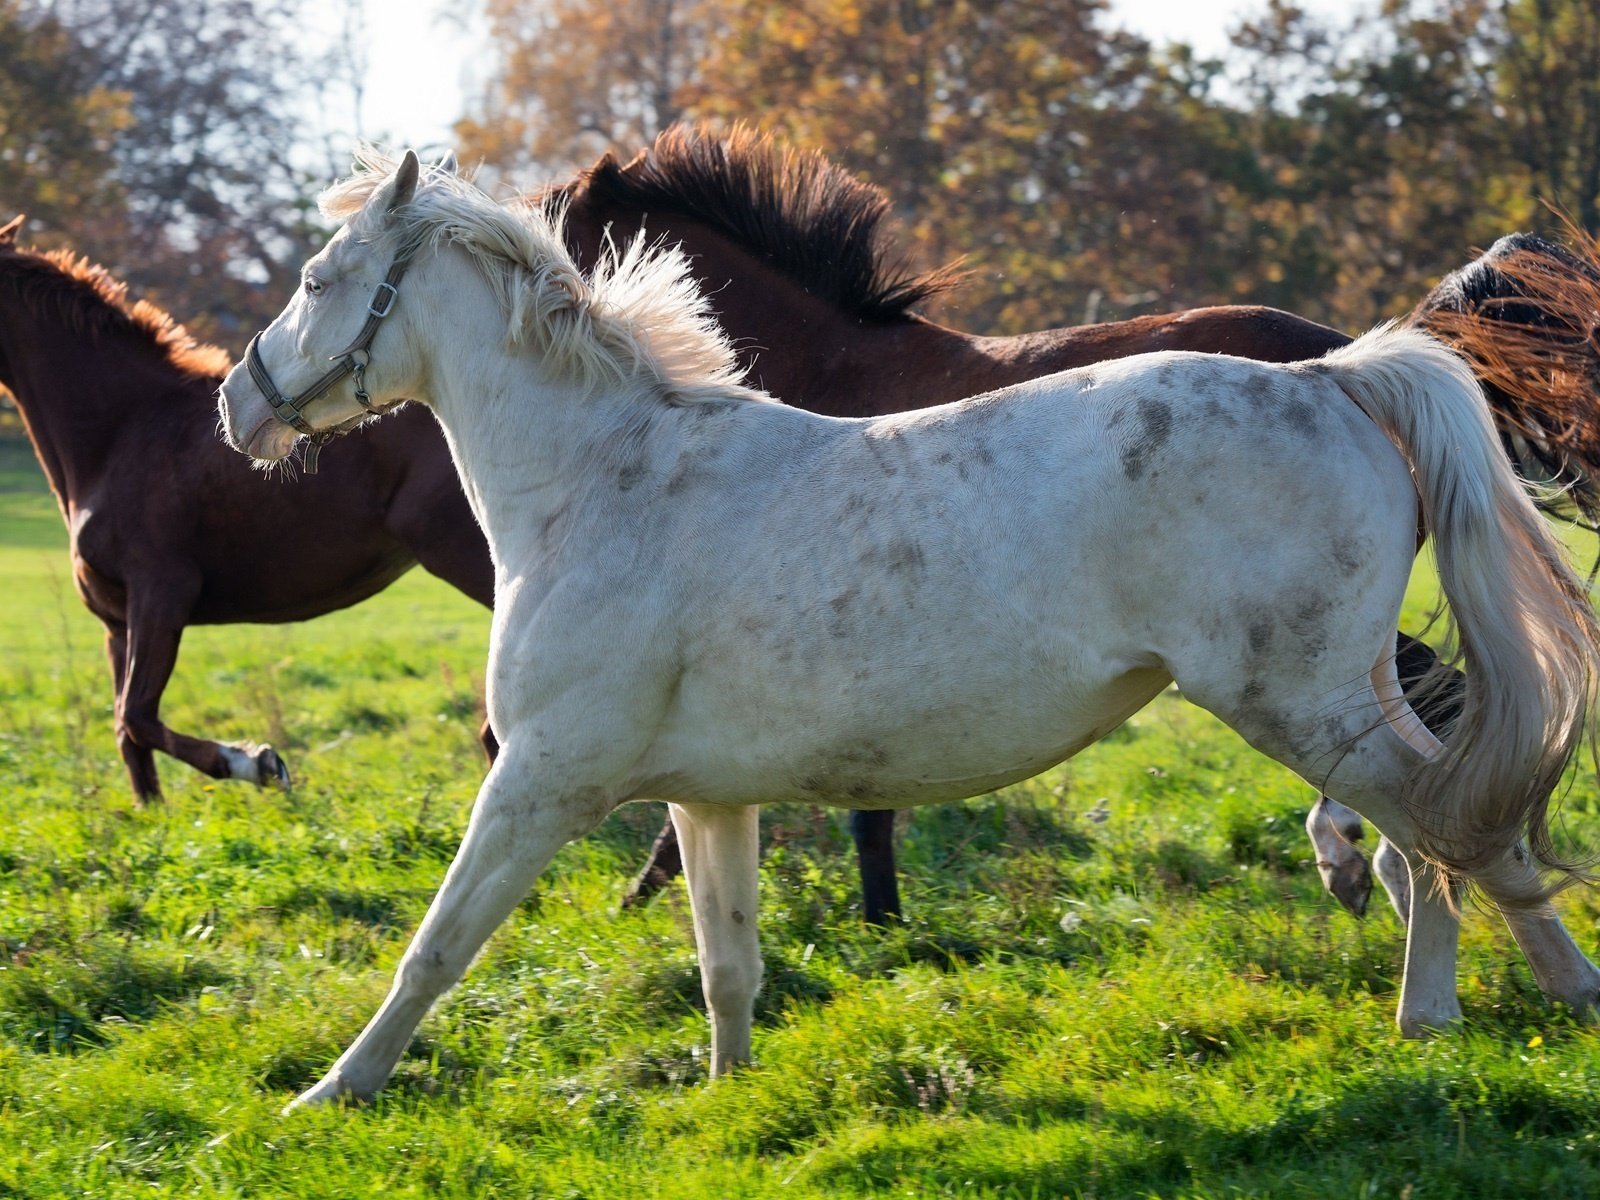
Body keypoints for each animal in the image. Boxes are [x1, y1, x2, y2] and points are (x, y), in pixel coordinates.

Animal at [222, 152, 1600, 1120]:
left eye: (314, 281)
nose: (238, 402)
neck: (604, 482)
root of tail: (1336, 376)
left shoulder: (539, 782)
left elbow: (433, 950)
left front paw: (327, 1094)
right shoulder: (707, 798)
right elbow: (727, 965)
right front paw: (729, 1102)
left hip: (1309, 708)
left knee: (1456, 829)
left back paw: (1519, 1005)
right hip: (1348, 697)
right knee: (1440, 827)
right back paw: (1444, 1019)